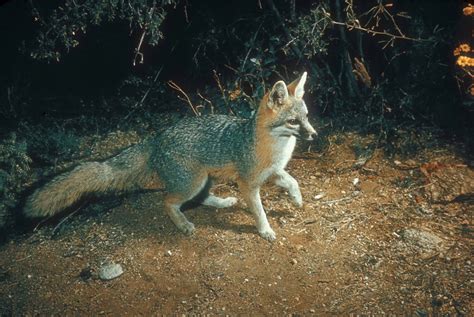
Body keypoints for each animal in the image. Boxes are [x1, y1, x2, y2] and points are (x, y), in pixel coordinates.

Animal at [24, 71, 316, 239]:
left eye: (306, 117)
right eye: (293, 122)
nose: (313, 134)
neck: (275, 146)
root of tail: (157, 137)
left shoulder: (272, 172)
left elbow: (292, 181)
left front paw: (297, 199)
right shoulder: (248, 183)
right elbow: (258, 211)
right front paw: (265, 230)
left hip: (204, 179)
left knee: (200, 198)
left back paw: (221, 203)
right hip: (193, 181)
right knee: (168, 201)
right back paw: (183, 224)